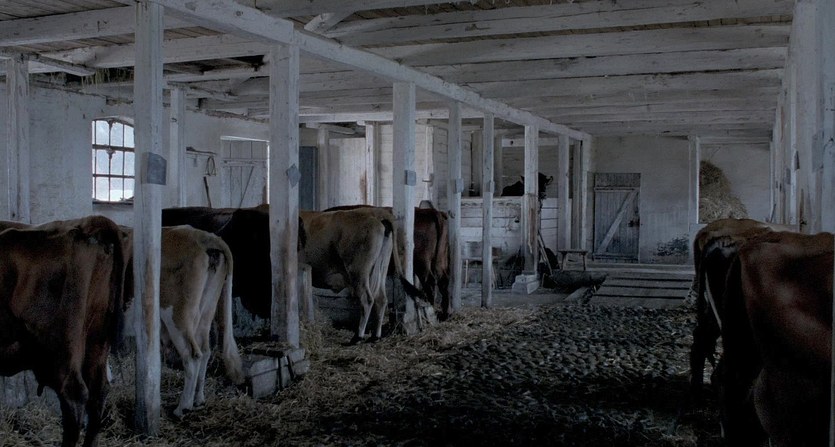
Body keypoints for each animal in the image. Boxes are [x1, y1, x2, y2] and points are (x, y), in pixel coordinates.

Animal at [121, 225, 244, 418]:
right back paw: (198, 399)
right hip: (206, 309)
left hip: (177, 314)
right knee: (205, 350)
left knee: (192, 355)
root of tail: (203, 236)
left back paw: (182, 407)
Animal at [300, 209, 423, 343]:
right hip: (381, 268)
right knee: (381, 299)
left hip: (358, 271)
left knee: (367, 299)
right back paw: (375, 336)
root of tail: (376, 214)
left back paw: (357, 336)